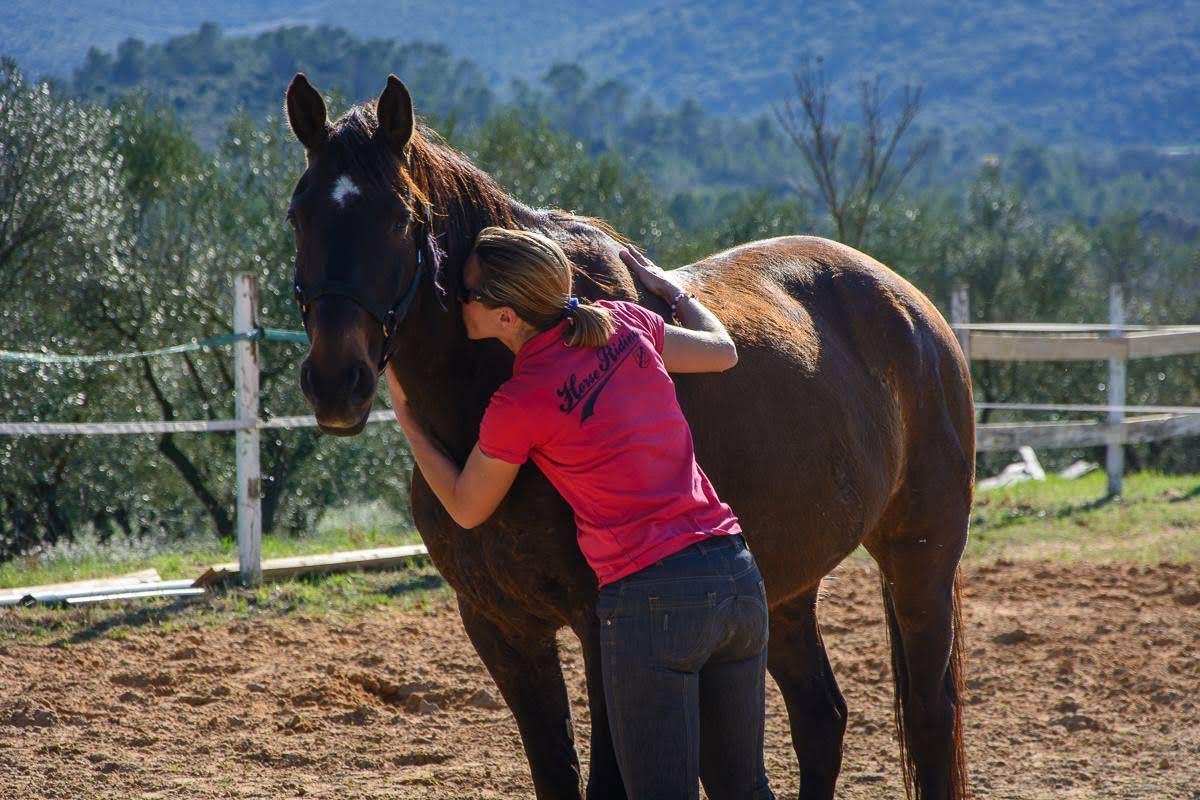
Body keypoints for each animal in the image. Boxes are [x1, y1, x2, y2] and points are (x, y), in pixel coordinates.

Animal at [284, 72, 973, 800]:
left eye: (398, 218)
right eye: (299, 215)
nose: (335, 383)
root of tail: (915, 310)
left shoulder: (599, 626)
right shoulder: (502, 629)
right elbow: (555, 773)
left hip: (920, 558)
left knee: (928, 716)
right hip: (786, 583)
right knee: (820, 717)